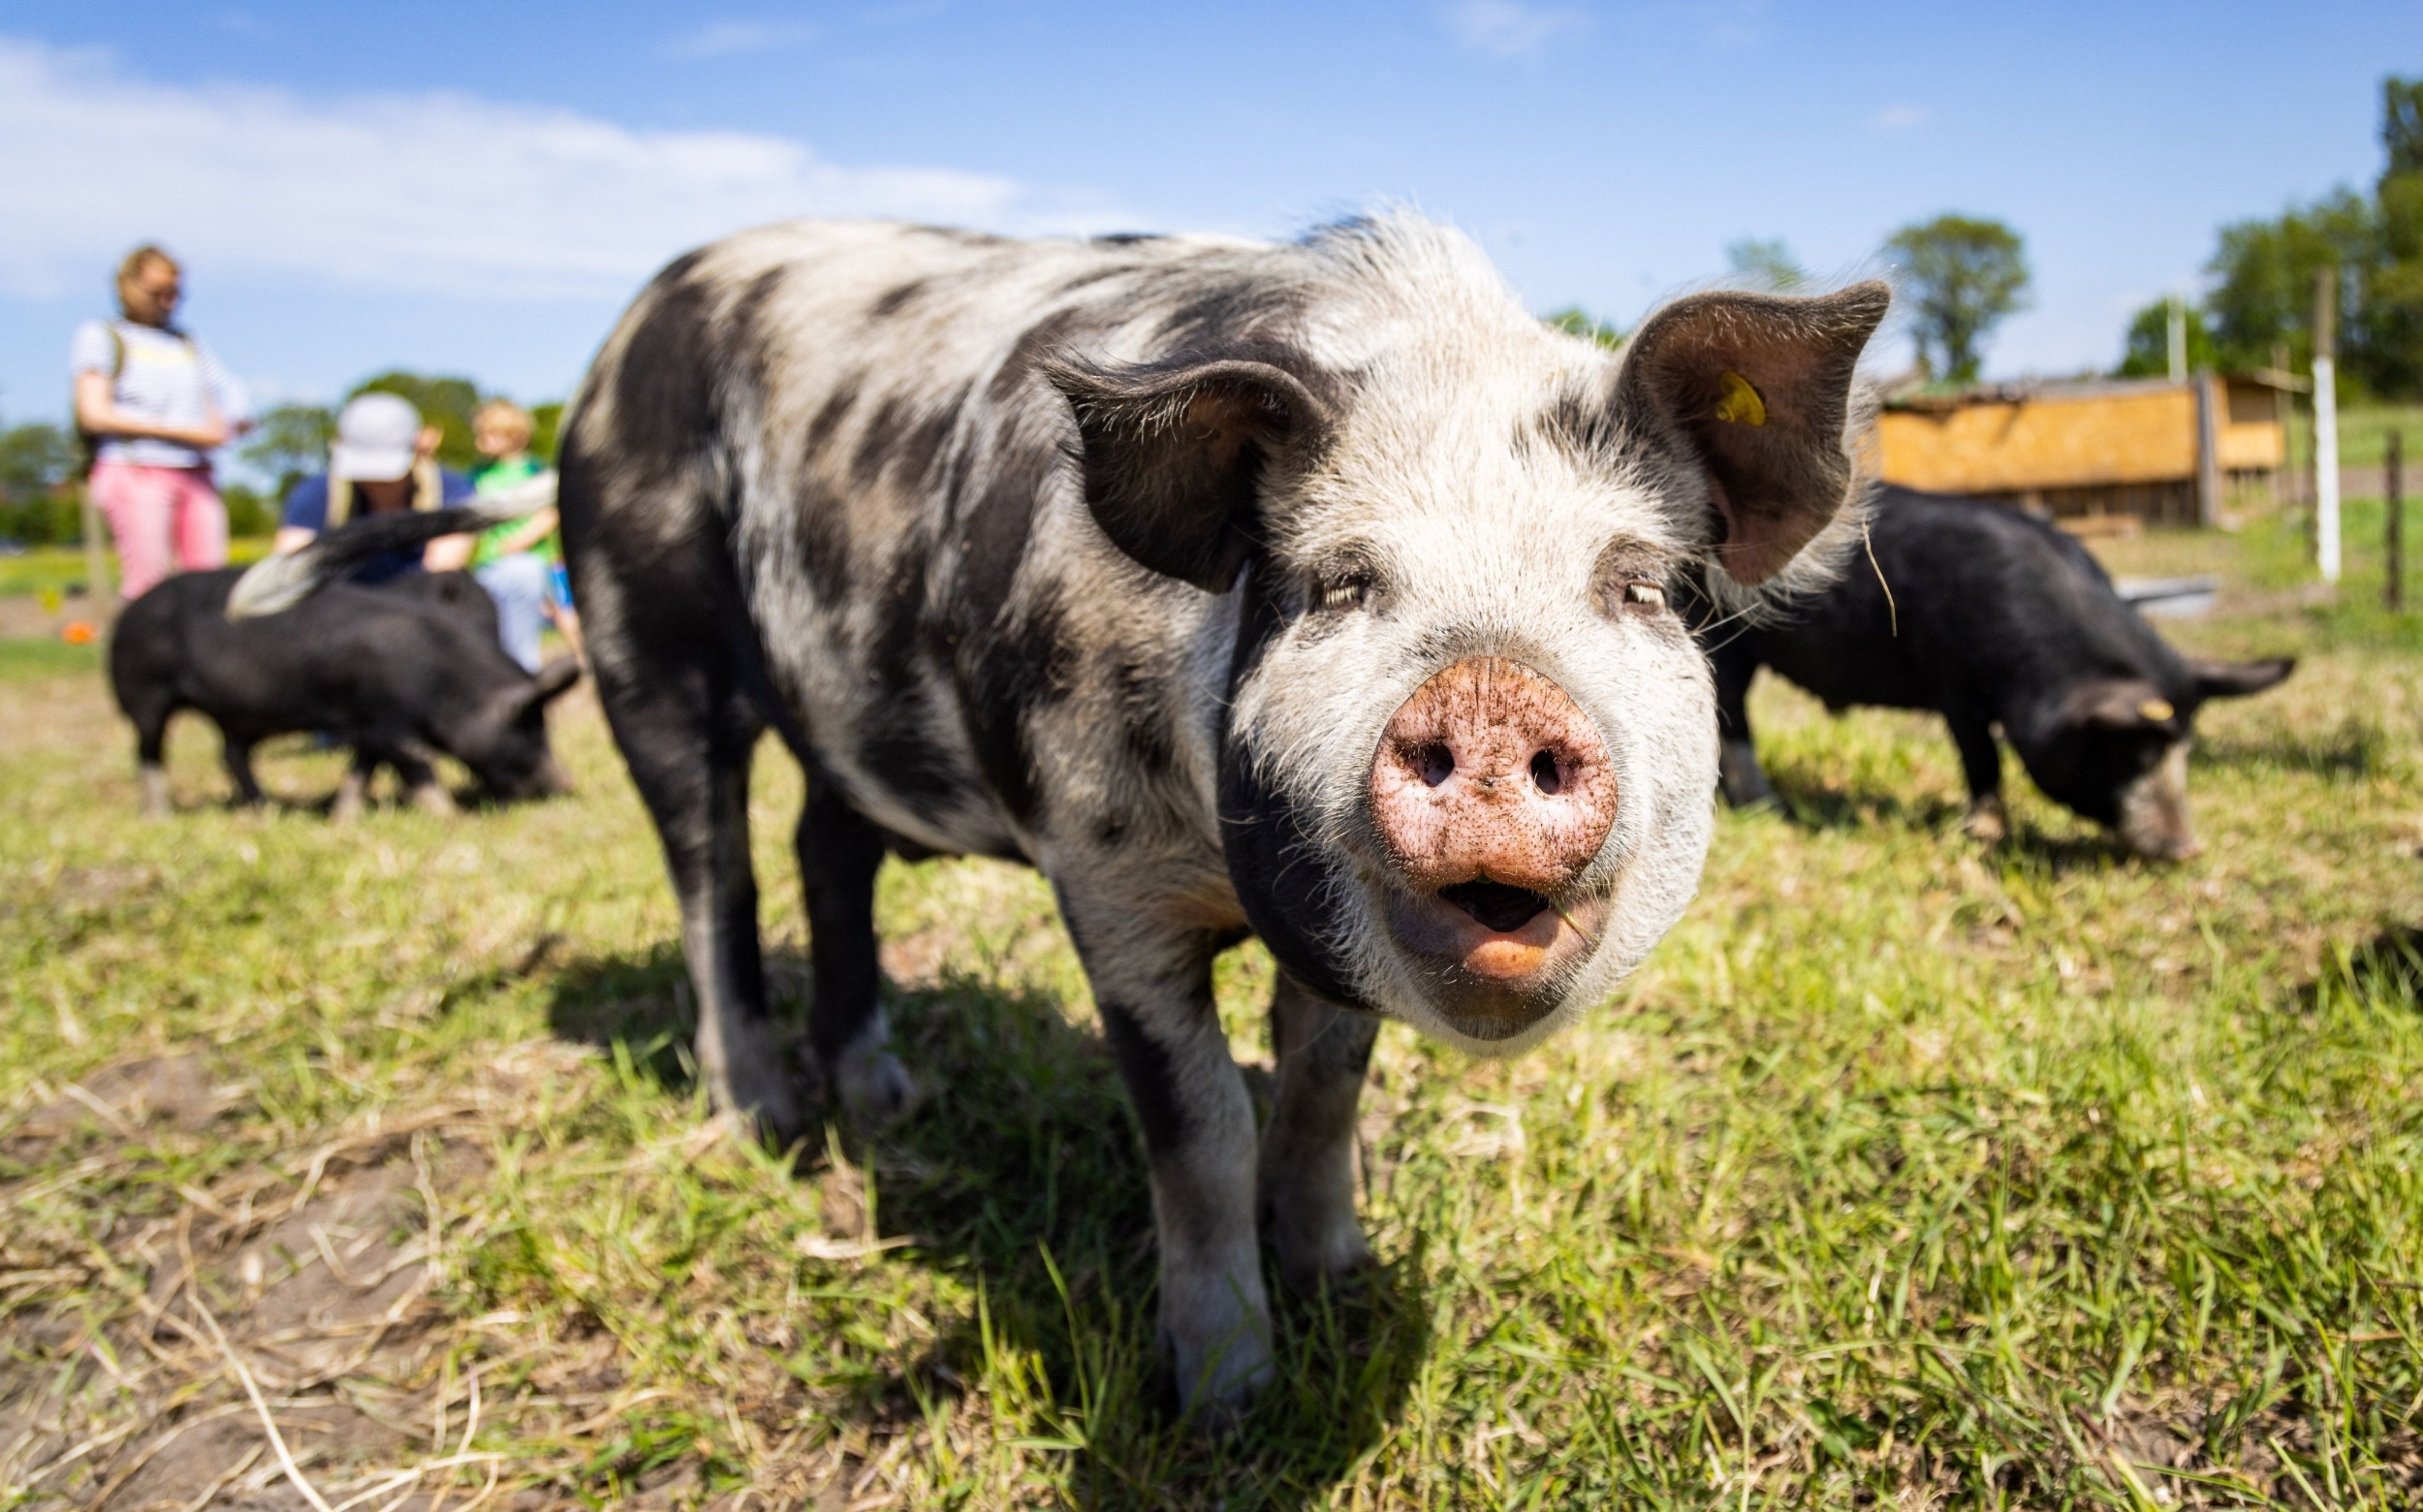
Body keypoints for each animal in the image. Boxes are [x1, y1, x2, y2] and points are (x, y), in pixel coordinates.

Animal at [113, 565, 580, 817]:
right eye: (528, 728)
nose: (565, 784)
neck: (444, 683)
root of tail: (128, 612)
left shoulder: (370, 725)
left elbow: (363, 767)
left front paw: (344, 817)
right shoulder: (391, 723)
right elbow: (418, 766)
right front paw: (450, 818)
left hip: (235, 716)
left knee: (230, 753)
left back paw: (264, 808)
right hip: (145, 695)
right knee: (149, 751)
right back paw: (160, 815)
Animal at [248, 214, 1887, 1415]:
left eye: (1640, 586)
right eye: (1336, 582)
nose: (1490, 698)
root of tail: (602, 368)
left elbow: (1323, 1088)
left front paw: (1345, 1283)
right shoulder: (1099, 878)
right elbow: (1199, 1121)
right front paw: (1226, 1397)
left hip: (848, 710)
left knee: (824, 852)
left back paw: (887, 1102)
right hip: (644, 631)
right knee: (712, 874)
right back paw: (764, 1118)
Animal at [1702, 484, 2294, 858]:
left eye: (2186, 752)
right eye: (2137, 753)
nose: (2187, 850)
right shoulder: (1957, 686)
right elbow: (1982, 758)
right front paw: (1984, 834)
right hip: (1721, 641)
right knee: (1733, 718)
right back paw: (1766, 807)